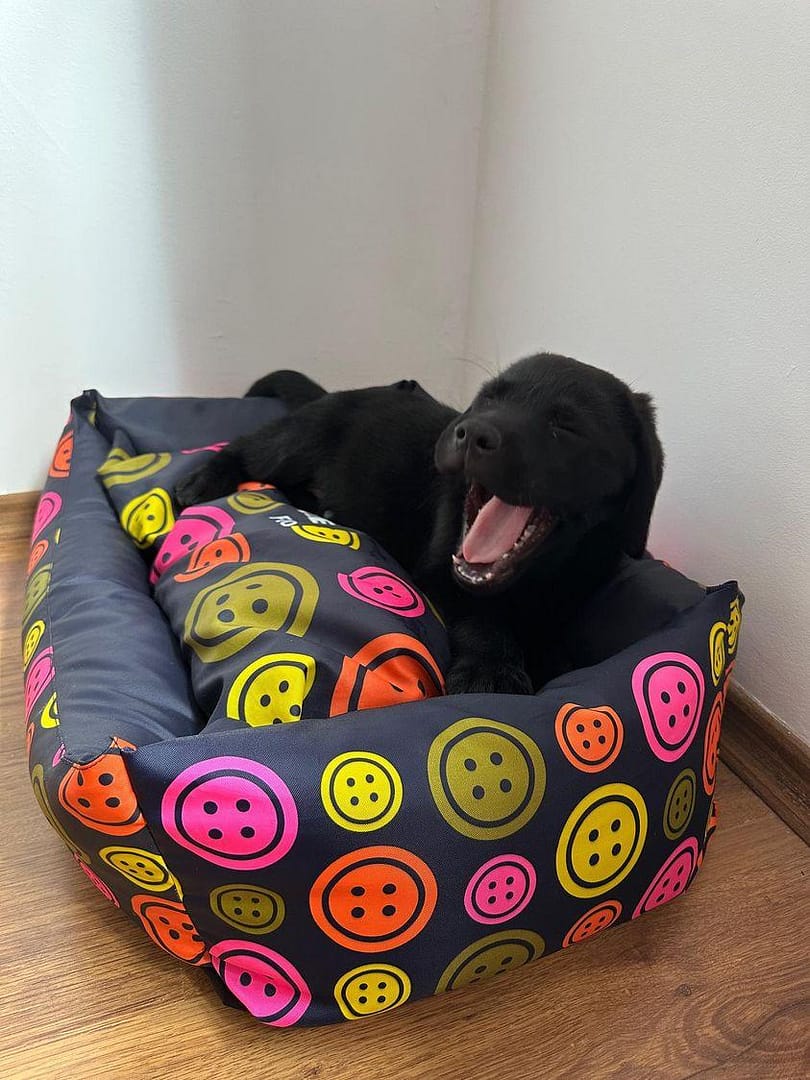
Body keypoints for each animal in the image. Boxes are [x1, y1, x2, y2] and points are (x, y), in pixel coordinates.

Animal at [176, 353, 663, 694]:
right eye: (488, 399)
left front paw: (552, 661)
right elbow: (482, 620)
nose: (473, 431)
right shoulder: (443, 575)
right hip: (298, 440)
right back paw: (203, 479)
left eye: (567, 427)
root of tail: (335, 392)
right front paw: (490, 671)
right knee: (247, 449)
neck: (538, 576)